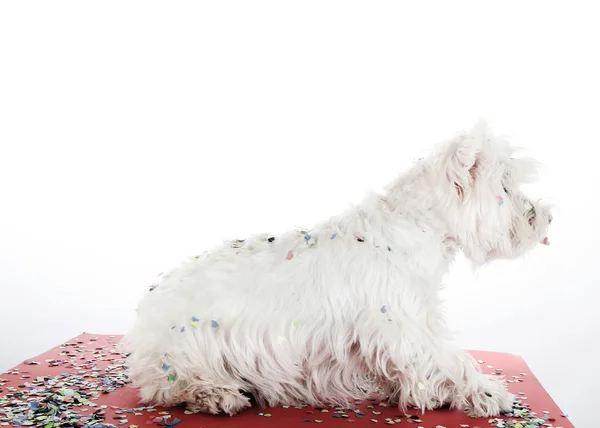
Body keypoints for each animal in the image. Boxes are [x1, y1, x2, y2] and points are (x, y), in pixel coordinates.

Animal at [123, 122, 552, 416]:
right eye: (506, 187)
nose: (547, 217)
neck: (417, 225)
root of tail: (146, 310)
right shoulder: (404, 324)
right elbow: (448, 359)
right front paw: (487, 393)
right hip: (184, 350)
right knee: (166, 387)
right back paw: (219, 394)